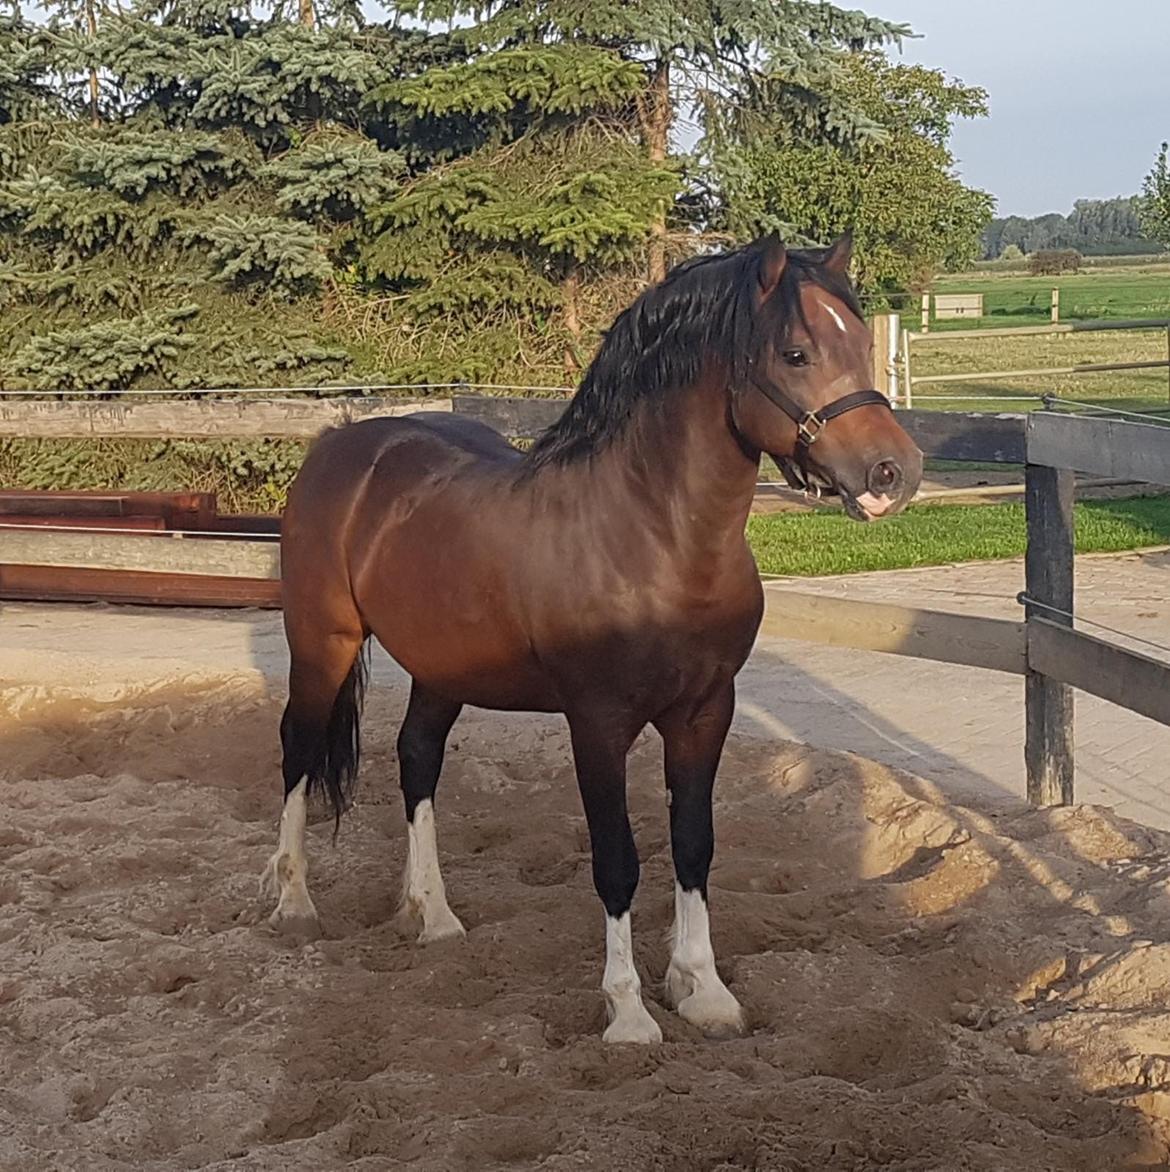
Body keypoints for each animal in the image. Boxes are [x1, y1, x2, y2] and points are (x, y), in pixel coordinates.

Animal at [259, 233, 923, 1040]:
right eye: (796, 353)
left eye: (862, 342)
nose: (894, 472)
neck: (653, 538)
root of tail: (338, 444)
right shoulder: (598, 724)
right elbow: (617, 861)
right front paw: (629, 1013)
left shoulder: (705, 713)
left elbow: (693, 846)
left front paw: (703, 991)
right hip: (321, 643)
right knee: (299, 750)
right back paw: (295, 903)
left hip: (440, 670)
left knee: (417, 760)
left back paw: (434, 916)